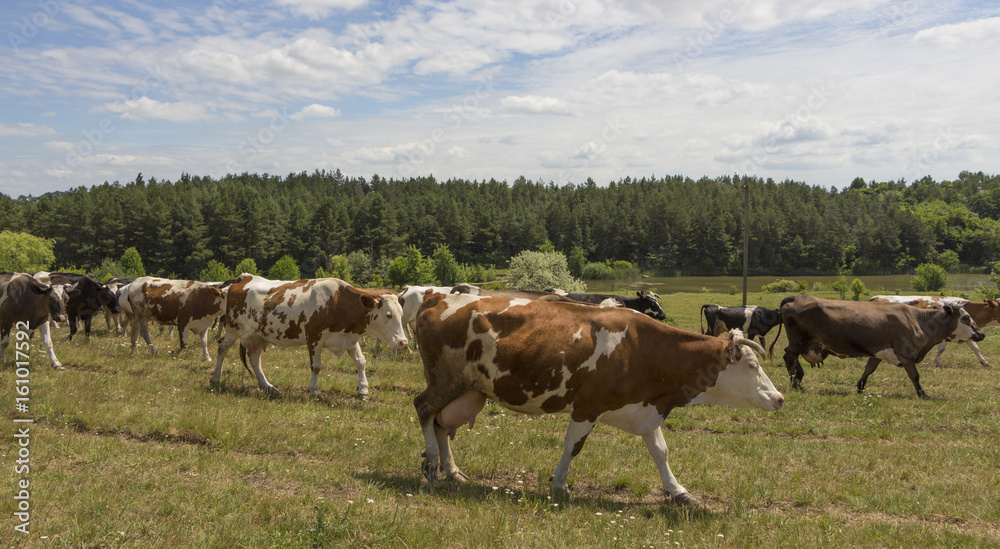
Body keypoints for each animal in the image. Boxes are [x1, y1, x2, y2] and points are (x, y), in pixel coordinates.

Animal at [412, 294, 780, 504]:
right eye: (752, 365)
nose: (778, 398)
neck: (643, 349)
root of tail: (436, 302)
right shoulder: (588, 406)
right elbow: (572, 446)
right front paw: (560, 485)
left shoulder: (646, 408)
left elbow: (660, 452)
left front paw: (679, 492)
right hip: (446, 380)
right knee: (424, 409)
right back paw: (431, 465)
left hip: (466, 388)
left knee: (442, 423)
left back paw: (451, 470)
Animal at [780, 294, 984, 396]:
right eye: (966, 318)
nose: (981, 334)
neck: (918, 320)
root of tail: (797, 297)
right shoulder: (906, 356)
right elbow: (915, 376)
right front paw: (922, 393)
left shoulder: (877, 354)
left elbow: (868, 371)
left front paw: (860, 388)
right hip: (798, 342)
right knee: (789, 357)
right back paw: (796, 385)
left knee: (792, 359)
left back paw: (798, 381)